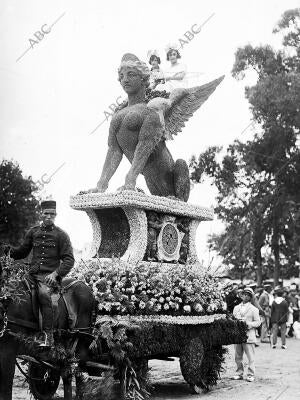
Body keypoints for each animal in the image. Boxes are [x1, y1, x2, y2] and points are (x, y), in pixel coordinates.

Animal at [0, 260, 95, 400]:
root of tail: (86, 287)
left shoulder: (8, 350)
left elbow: (6, 390)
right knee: (66, 373)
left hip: (82, 341)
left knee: (78, 375)